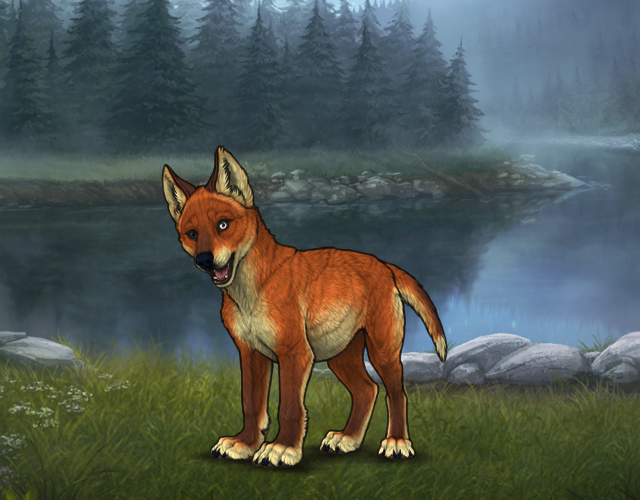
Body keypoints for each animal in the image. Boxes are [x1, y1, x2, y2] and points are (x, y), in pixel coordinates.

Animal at [162, 146, 447, 468]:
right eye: (192, 234)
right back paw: (347, 439)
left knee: (396, 394)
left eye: (223, 225)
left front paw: (281, 449)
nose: (205, 261)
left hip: (382, 352)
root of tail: (384, 265)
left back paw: (397, 443)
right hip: (341, 357)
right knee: (367, 390)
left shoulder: (294, 353)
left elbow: (289, 408)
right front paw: (245, 444)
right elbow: (251, 404)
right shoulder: (251, 354)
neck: (250, 292)